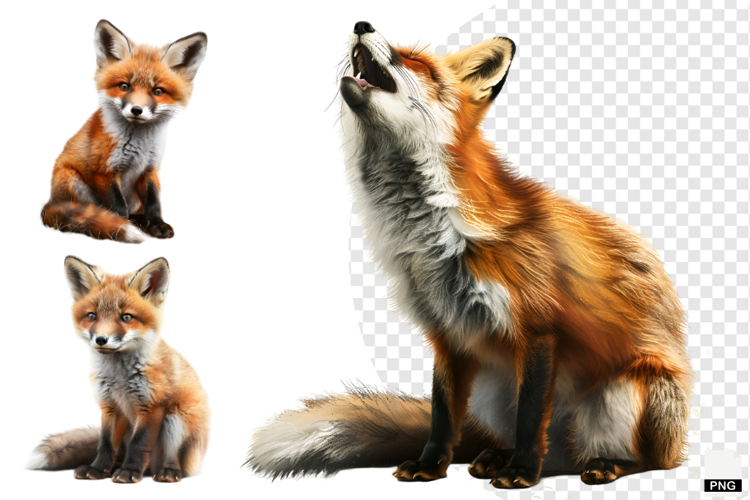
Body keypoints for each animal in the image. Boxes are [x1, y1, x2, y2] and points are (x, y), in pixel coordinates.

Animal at [27, 256, 210, 483]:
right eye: (92, 316)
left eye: (126, 317)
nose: (101, 339)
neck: (119, 378)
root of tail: (151, 469)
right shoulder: (110, 406)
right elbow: (105, 444)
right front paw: (97, 469)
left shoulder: (152, 405)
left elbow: (139, 444)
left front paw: (130, 472)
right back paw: (114, 468)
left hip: (177, 418)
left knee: (175, 461)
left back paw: (167, 472)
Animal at [40, 20, 207, 243]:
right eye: (124, 86)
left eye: (158, 91)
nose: (136, 110)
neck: (140, 145)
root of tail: (49, 205)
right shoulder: (104, 170)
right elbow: (118, 207)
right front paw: (120, 224)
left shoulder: (150, 169)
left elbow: (154, 203)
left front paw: (156, 224)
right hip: (71, 178)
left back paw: (140, 221)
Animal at [246, 22, 693, 489]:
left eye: (415, 61)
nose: (361, 25)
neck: (436, 236)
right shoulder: (447, 334)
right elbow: (442, 414)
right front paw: (430, 466)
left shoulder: (538, 327)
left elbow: (530, 417)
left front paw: (521, 472)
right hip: (492, 392)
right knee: (548, 452)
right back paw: (498, 456)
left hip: (627, 392)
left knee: (643, 459)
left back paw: (603, 464)